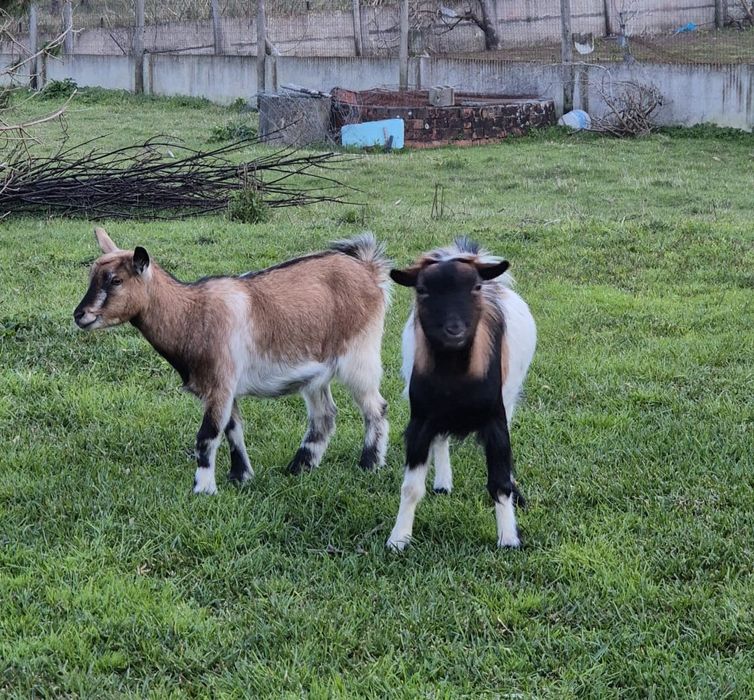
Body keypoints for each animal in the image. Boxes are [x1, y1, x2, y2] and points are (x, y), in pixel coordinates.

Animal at [74, 227, 391, 494]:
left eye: (116, 280)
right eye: (92, 276)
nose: (80, 315)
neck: (191, 314)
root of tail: (369, 270)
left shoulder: (220, 383)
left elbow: (207, 435)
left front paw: (203, 489)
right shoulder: (225, 389)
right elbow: (232, 430)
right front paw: (240, 476)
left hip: (359, 355)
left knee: (375, 407)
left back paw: (369, 464)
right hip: (315, 373)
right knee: (324, 415)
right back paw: (299, 467)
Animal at [386, 237, 536, 550]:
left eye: (476, 287)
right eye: (422, 290)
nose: (454, 330)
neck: (456, 377)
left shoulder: (495, 419)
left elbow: (499, 483)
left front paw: (508, 539)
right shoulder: (421, 419)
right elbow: (410, 487)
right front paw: (398, 539)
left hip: (509, 396)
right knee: (442, 439)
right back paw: (443, 483)